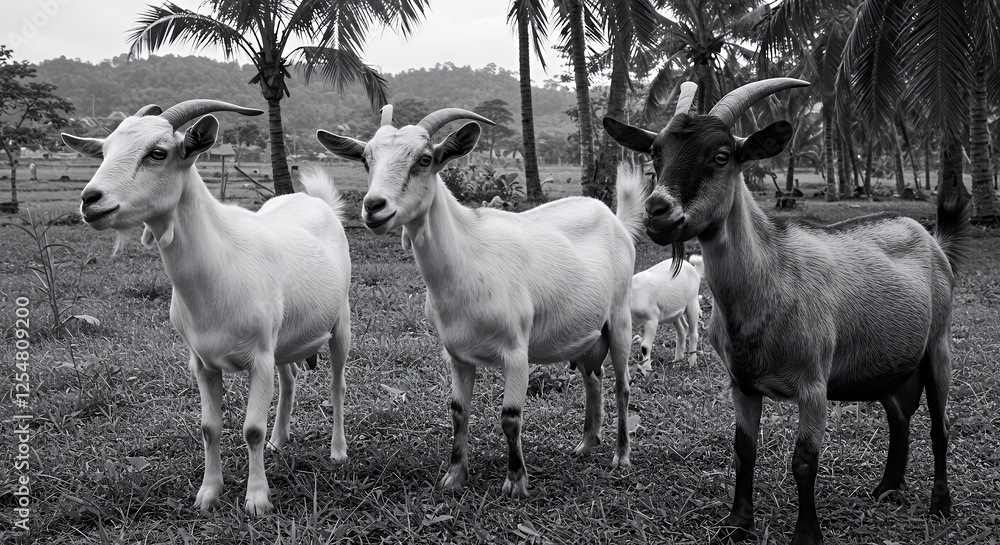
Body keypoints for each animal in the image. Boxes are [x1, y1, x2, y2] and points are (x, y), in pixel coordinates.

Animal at [61, 101, 352, 515]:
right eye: (103, 152)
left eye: (157, 153)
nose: (91, 200)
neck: (221, 264)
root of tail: (317, 201)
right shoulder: (202, 362)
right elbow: (209, 428)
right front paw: (208, 493)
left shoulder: (258, 358)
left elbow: (251, 429)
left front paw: (257, 499)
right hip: (283, 338)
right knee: (291, 379)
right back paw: (279, 441)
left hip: (340, 320)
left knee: (337, 383)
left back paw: (338, 451)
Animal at [316, 106, 650, 498]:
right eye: (366, 160)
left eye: (425, 159)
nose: (373, 207)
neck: (469, 258)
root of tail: (617, 222)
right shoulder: (456, 354)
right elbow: (458, 411)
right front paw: (453, 477)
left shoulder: (516, 351)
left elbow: (510, 417)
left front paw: (516, 483)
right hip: (586, 333)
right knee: (592, 378)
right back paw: (585, 444)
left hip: (620, 316)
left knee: (622, 385)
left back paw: (621, 457)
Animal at [603, 79, 969, 545]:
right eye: (655, 154)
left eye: (722, 155)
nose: (657, 212)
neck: (771, 279)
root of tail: (931, 238)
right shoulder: (742, 382)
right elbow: (744, 450)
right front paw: (738, 523)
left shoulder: (814, 384)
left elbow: (804, 461)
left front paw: (806, 535)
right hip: (891, 363)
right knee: (899, 417)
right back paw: (886, 489)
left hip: (938, 345)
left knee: (940, 426)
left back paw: (940, 505)